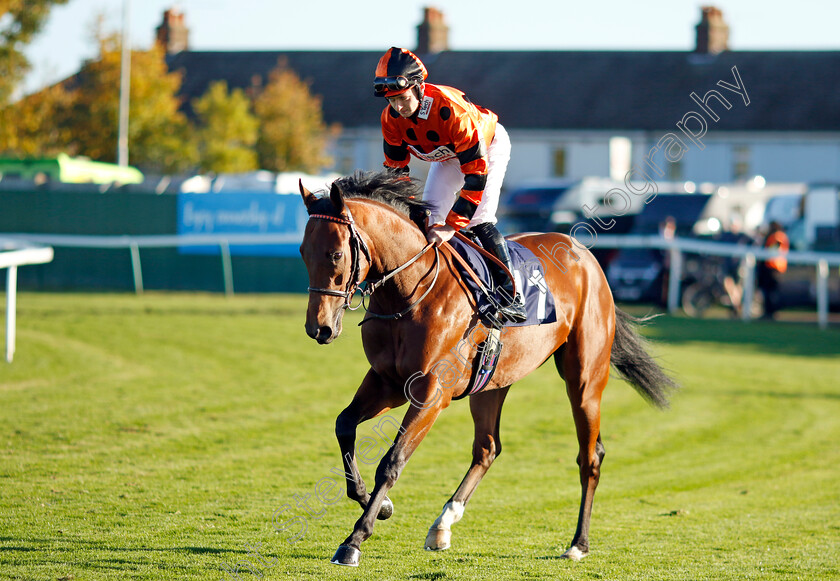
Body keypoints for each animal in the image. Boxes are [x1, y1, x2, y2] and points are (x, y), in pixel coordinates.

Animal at [296, 170, 676, 564]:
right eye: (303, 252)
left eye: (336, 254)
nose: (318, 328)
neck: (411, 289)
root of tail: (585, 254)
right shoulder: (387, 381)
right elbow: (344, 425)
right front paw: (379, 504)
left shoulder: (431, 391)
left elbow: (392, 460)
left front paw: (355, 539)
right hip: (492, 383)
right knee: (488, 448)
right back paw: (443, 524)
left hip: (584, 379)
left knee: (590, 457)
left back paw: (578, 543)